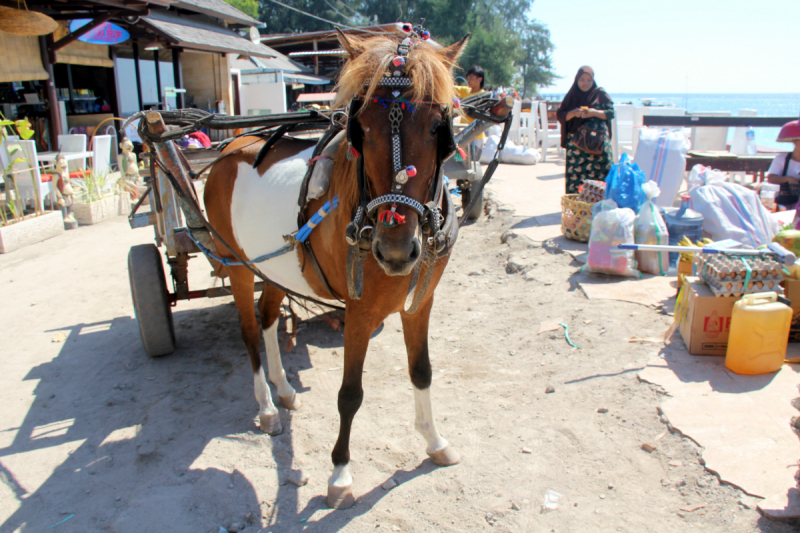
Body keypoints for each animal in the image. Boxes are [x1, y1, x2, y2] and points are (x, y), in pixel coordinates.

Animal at [203, 28, 472, 508]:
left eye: (438, 129)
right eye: (360, 129)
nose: (395, 251)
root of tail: (229, 148)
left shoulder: (420, 302)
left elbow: (421, 370)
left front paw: (434, 441)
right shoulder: (359, 312)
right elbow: (350, 394)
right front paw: (341, 473)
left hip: (276, 269)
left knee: (268, 319)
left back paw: (284, 389)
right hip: (237, 265)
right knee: (250, 332)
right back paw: (266, 406)